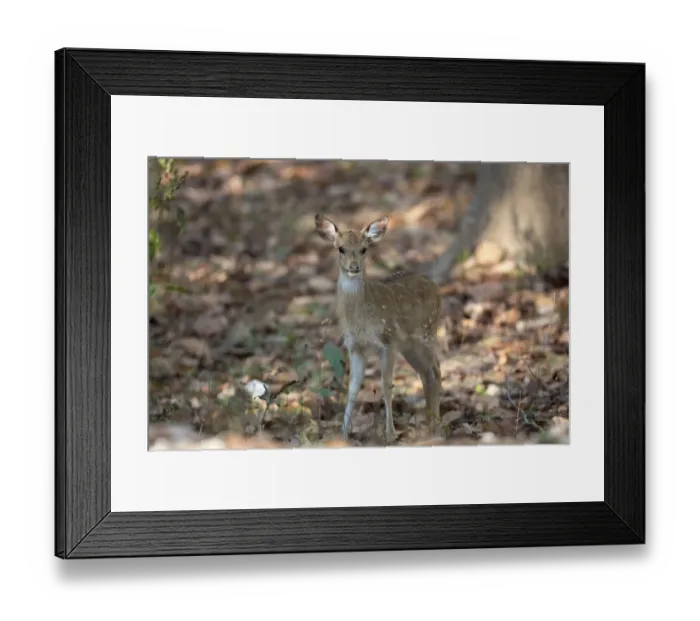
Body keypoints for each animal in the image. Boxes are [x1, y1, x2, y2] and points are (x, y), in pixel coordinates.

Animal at [314, 213, 443, 444]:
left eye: (364, 248)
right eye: (340, 248)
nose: (354, 267)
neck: (361, 320)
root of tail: (436, 287)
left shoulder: (387, 341)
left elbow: (386, 384)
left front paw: (390, 434)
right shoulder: (354, 347)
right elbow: (353, 387)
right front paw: (343, 433)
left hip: (428, 333)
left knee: (436, 370)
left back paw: (436, 426)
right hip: (409, 346)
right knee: (425, 373)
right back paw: (429, 425)